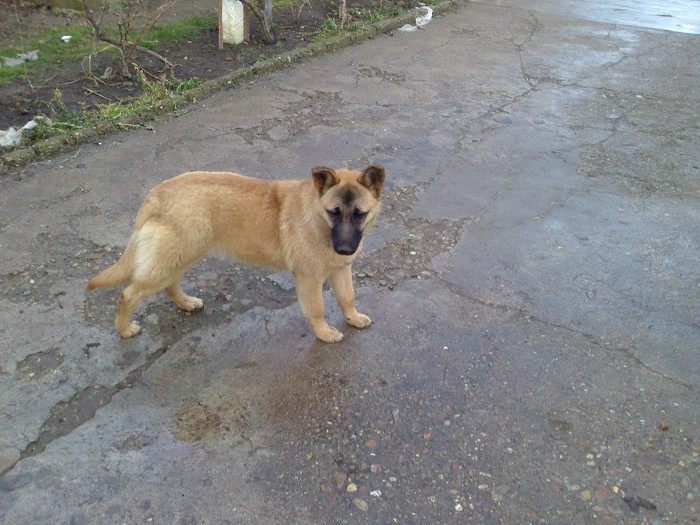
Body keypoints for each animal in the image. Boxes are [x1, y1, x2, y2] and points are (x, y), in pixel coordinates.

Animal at [87, 166, 386, 342]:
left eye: (360, 214)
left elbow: (347, 297)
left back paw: (185, 303)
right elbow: (317, 310)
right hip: (169, 261)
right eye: (334, 212)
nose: (344, 249)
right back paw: (124, 329)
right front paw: (324, 333)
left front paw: (353, 318)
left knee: (171, 285)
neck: (317, 217)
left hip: (182, 256)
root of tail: (156, 194)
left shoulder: (340, 270)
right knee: (128, 295)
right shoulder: (309, 279)